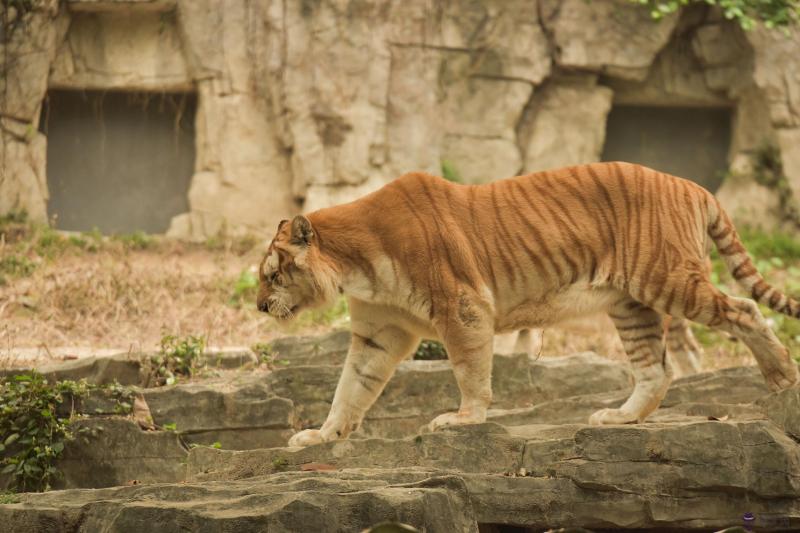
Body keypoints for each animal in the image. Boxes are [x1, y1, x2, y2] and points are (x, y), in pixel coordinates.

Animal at [258, 161, 800, 444]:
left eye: (272, 274)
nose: (261, 308)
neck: (357, 269)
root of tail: (691, 183)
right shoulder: (379, 332)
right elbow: (350, 387)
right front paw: (321, 435)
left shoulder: (462, 306)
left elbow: (469, 370)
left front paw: (463, 419)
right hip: (630, 303)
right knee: (656, 370)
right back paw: (619, 418)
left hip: (667, 281)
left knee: (745, 311)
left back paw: (782, 377)